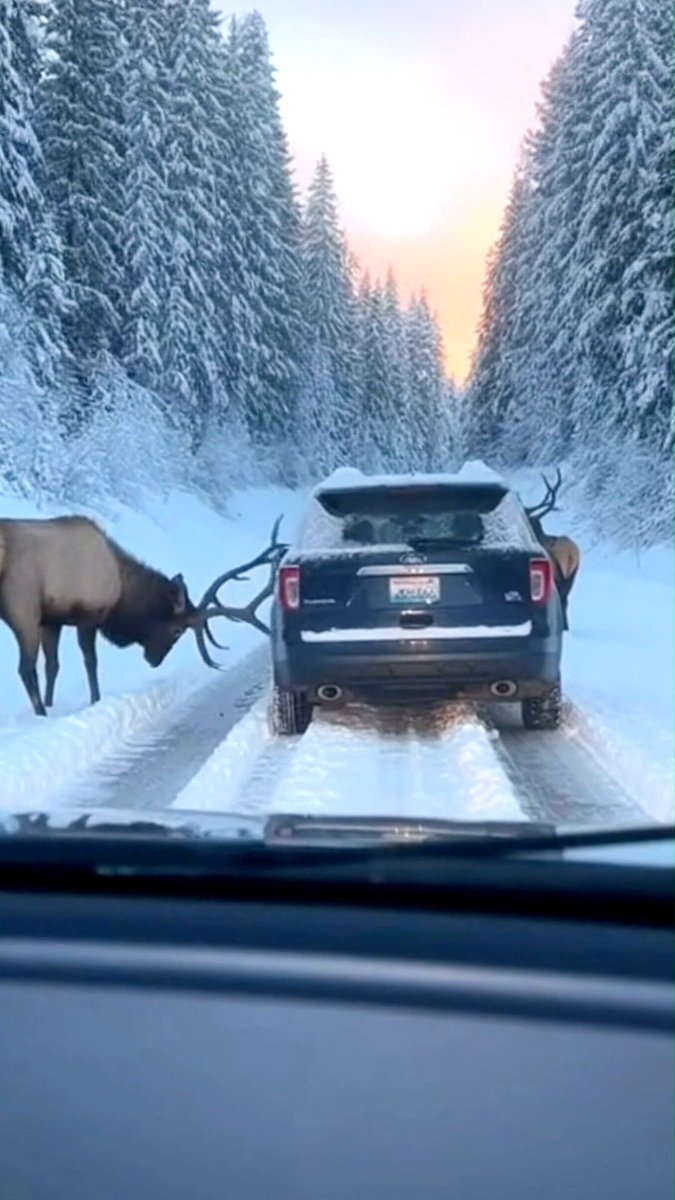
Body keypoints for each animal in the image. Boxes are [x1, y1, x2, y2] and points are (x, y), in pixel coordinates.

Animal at [0, 514, 286, 716]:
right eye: (177, 630)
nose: (154, 660)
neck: (121, 591)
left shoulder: (52, 619)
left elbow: (53, 665)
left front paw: (51, 704)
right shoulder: (88, 615)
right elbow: (90, 662)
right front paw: (94, 700)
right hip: (22, 606)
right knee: (24, 668)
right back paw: (40, 713)